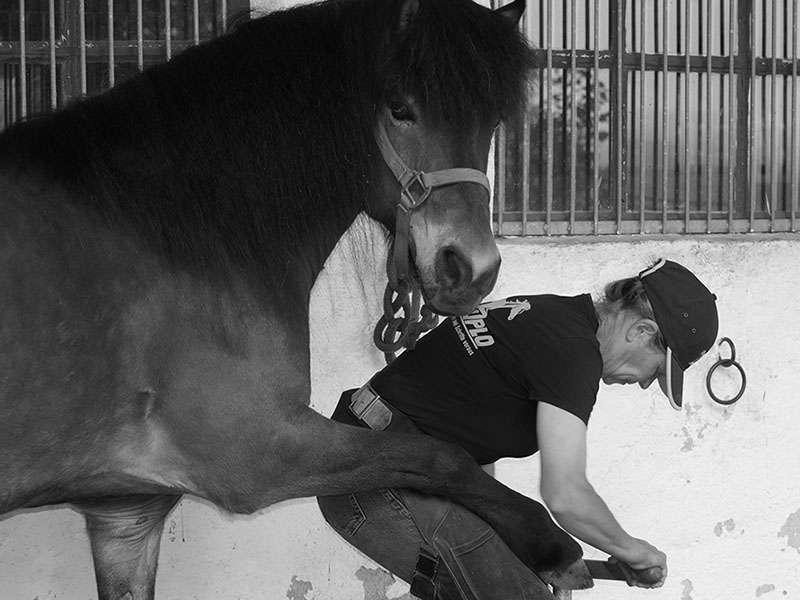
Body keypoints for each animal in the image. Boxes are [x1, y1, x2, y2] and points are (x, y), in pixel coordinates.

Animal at [0, 0, 588, 596]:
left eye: (489, 121)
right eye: (400, 108)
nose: (469, 268)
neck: (178, 235)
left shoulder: (125, 513)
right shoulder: (263, 455)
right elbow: (440, 456)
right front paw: (547, 542)